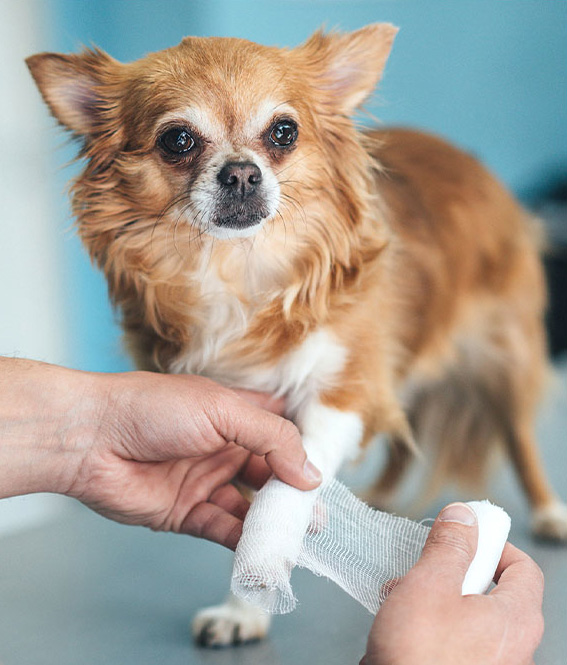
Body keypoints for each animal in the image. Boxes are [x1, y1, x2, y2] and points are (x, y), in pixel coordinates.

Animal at [27, 24, 567, 644]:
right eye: (177, 140)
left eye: (283, 132)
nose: (241, 172)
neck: (238, 269)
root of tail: (462, 156)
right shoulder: (236, 411)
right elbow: (253, 510)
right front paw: (246, 606)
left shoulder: (342, 389)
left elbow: (284, 488)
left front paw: (261, 578)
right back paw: (381, 496)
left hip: (503, 357)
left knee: (517, 435)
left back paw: (549, 511)